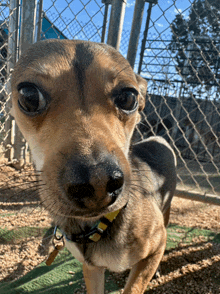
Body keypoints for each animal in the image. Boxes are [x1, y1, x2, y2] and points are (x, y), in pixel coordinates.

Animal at [11, 39, 177, 294]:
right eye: (29, 95)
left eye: (128, 97)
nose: (98, 182)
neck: (96, 225)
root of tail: (158, 138)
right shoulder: (92, 268)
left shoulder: (157, 245)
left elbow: (133, 287)